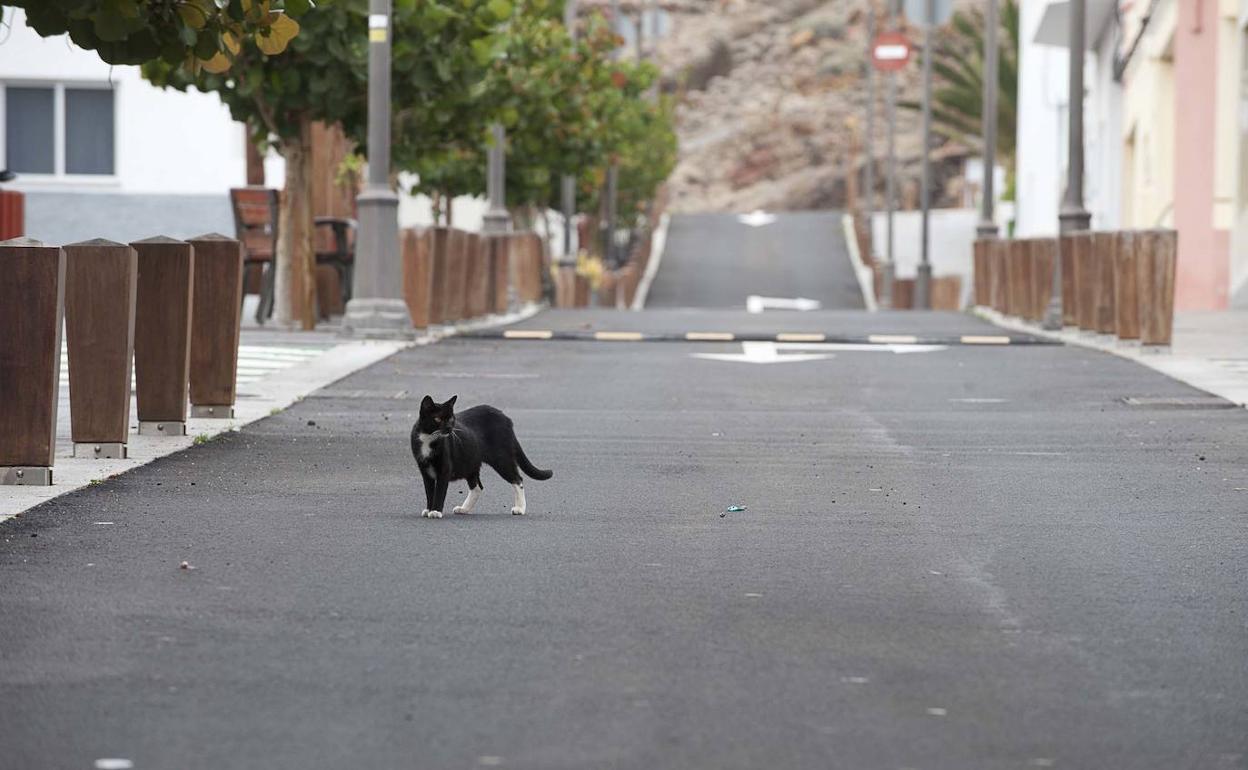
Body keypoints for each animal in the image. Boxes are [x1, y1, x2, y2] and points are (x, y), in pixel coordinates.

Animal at [409, 396, 551, 516]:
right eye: (437, 419)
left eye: (451, 419)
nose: (449, 428)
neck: (428, 438)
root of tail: (505, 418)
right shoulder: (425, 471)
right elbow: (429, 491)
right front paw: (429, 510)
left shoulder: (444, 469)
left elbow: (439, 491)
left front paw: (435, 512)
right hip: (470, 461)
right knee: (478, 487)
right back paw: (464, 509)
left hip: (501, 458)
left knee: (518, 479)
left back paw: (520, 508)